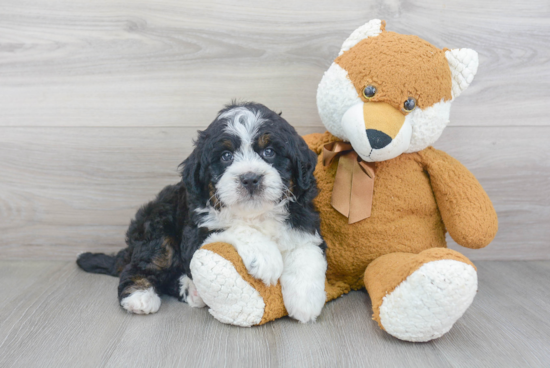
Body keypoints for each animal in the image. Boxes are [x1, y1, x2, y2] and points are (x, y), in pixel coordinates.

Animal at [77, 102, 328, 324]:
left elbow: (306, 250)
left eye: (269, 152)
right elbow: (234, 228)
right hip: (158, 228)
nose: (250, 178)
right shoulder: (196, 231)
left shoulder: (303, 220)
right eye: (226, 156)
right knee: (141, 265)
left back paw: (192, 290)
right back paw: (140, 295)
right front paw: (265, 256)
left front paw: (306, 300)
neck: (254, 214)